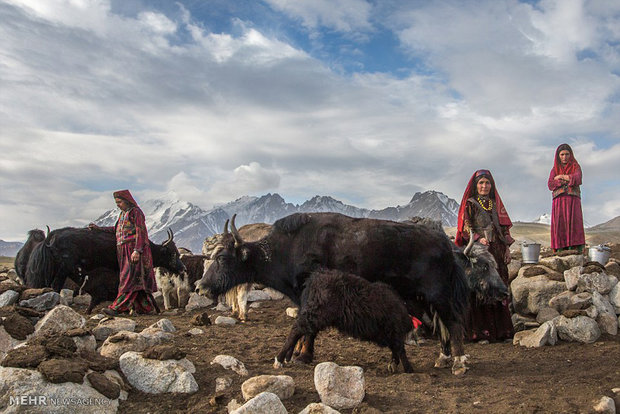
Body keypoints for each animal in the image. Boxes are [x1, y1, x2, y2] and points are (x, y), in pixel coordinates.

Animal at [274, 270, 412, 374]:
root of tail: (315, 278)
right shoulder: (394, 329)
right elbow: (400, 348)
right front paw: (408, 368)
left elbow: (396, 348)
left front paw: (394, 365)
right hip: (315, 315)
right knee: (297, 329)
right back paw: (279, 360)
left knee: (301, 331)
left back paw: (290, 358)